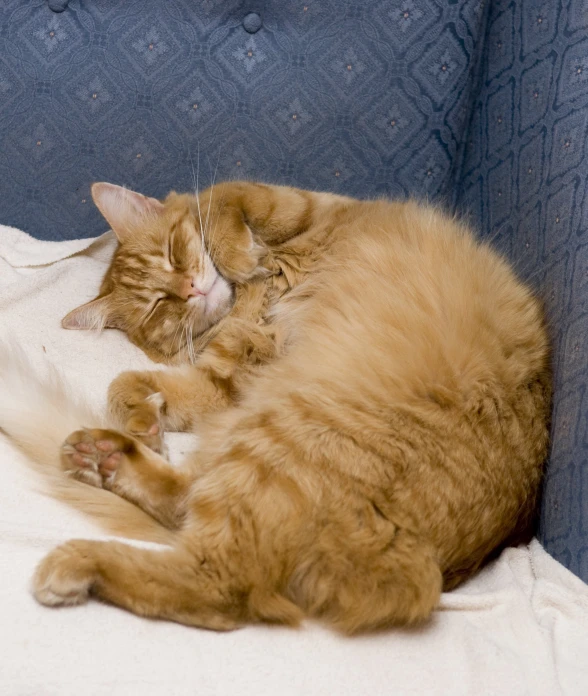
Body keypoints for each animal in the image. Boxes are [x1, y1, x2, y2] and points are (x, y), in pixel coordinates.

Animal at [0, 182, 552, 632]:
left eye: (174, 255)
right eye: (159, 305)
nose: (192, 289)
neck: (251, 302)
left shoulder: (292, 206)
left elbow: (230, 201)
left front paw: (242, 258)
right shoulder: (229, 384)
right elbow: (124, 385)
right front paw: (145, 423)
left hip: (273, 434)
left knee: (217, 578)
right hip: (269, 433)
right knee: (211, 573)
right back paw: (100, 472)